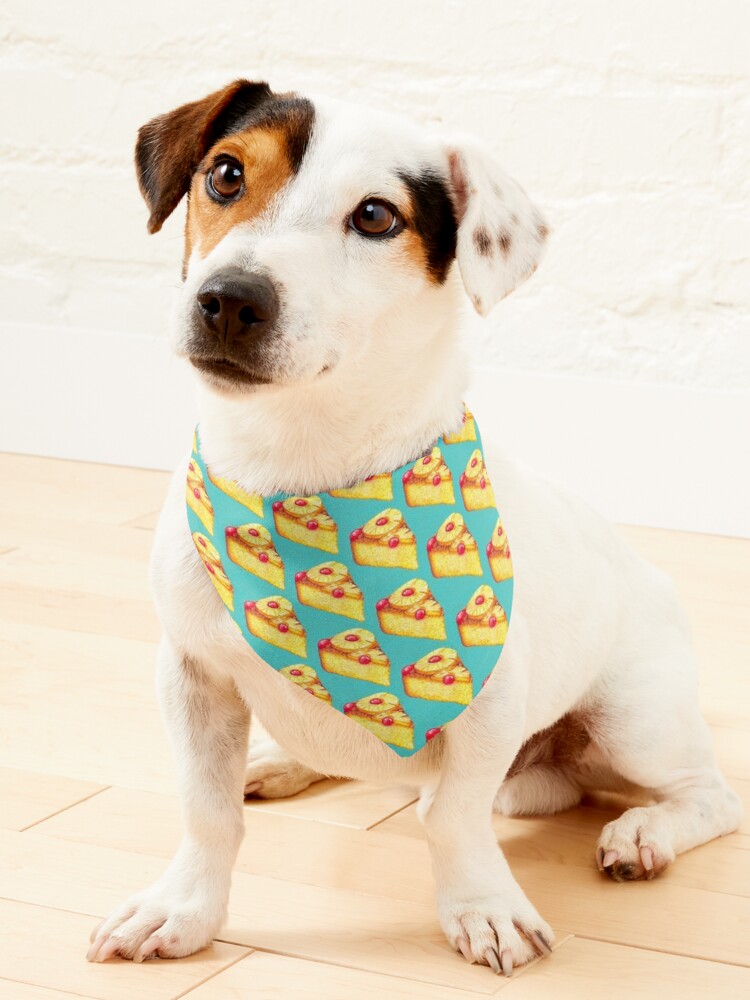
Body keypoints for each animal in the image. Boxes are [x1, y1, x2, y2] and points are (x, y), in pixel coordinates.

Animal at [85, 82, 744, 972]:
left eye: (375, 216)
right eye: (225, 173)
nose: (230, 298)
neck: (299, 467)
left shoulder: (491, 703)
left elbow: (453, 818)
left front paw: (483, 908)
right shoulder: (192, 677)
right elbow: (207, 810)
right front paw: (183, 909)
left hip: (635, 719)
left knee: (708, 796)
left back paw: (644, 833)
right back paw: (281, 761)